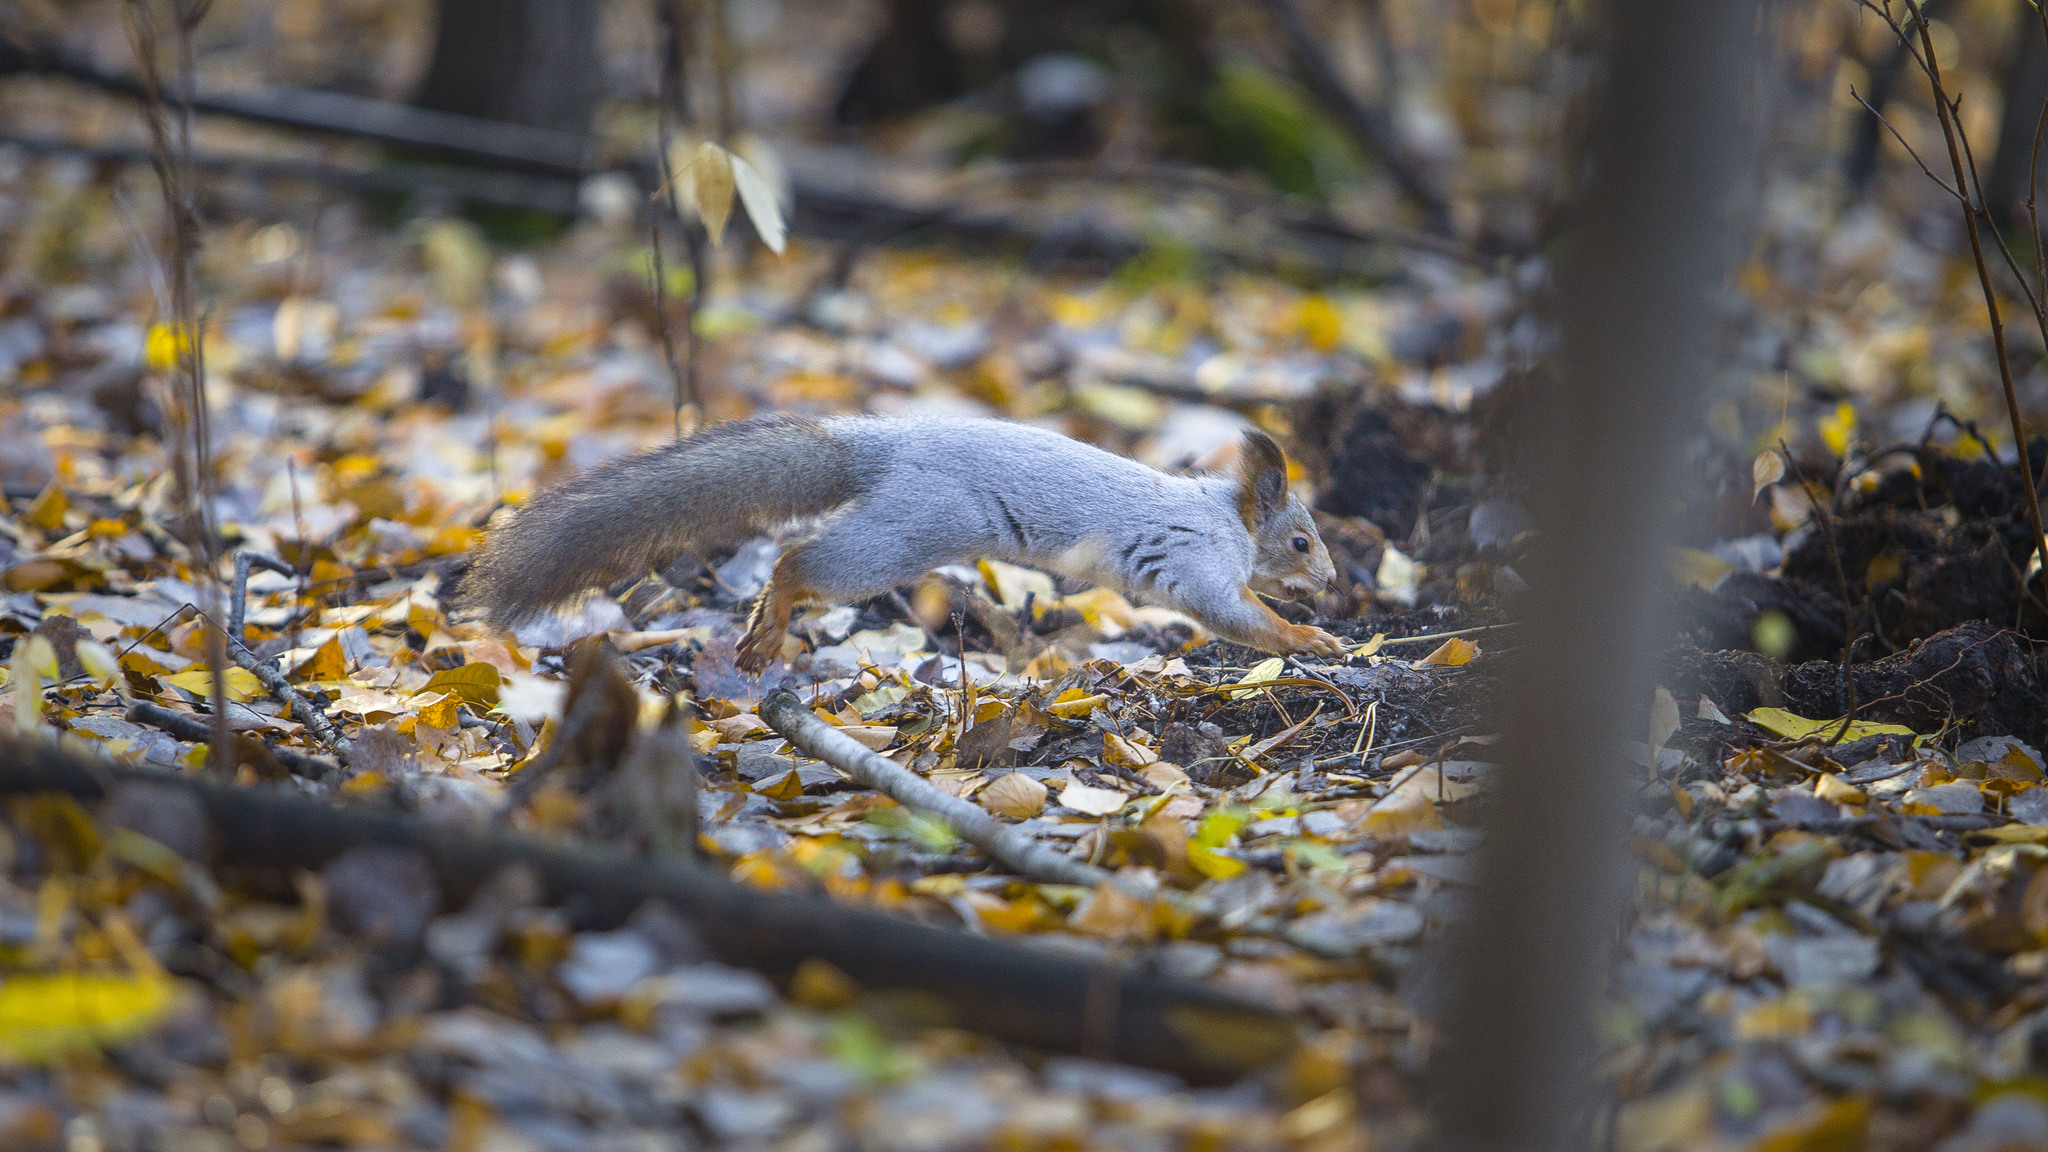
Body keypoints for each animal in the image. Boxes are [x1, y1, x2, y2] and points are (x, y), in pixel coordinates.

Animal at [462, 412, 1351, 668]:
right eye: (1302, 542)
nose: (1336, 583)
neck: (1229, 519)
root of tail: (885, 440)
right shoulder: (1197, 560)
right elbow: (1233, 616)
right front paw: (1310, 637)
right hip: (905, 533)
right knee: (798, 561)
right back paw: (769, 626)